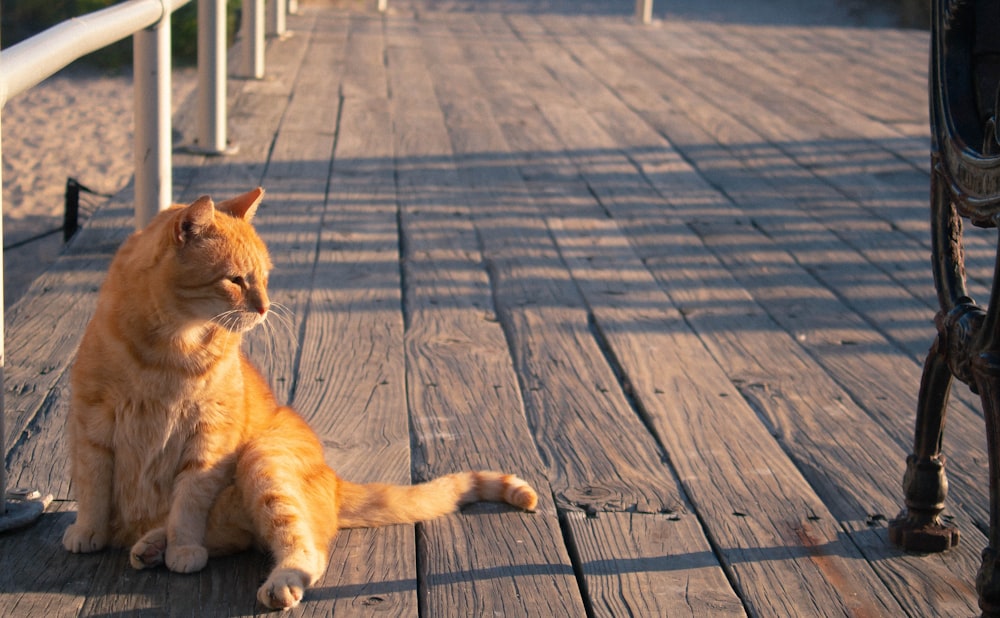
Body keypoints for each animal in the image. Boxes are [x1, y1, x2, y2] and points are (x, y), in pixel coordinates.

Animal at [60, 186, 540, 608]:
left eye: (264, 279)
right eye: (236, 280)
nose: (263, 308)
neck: (168, 348)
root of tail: (334, 477)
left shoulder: (210, 438)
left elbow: (188, 502)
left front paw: (183, 547)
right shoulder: (91, 423)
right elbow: (93, 486)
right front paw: (89, 532)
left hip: (263, 460)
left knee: (304, 548)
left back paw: (267, 580)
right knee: (234, 537)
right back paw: (150, 544)